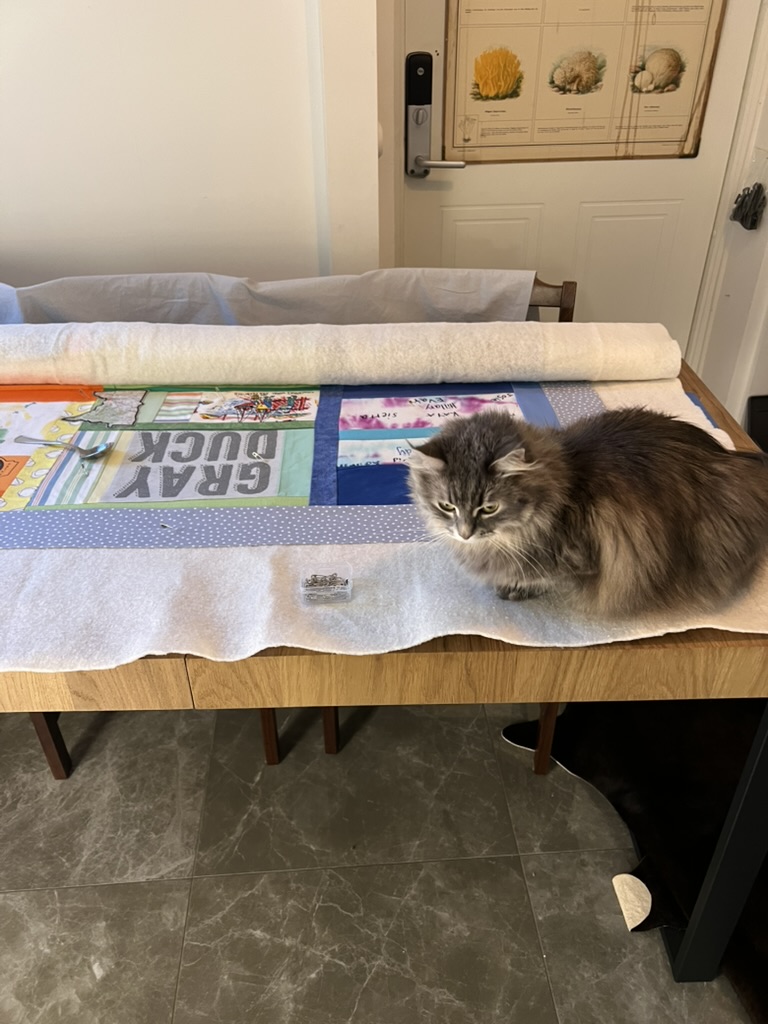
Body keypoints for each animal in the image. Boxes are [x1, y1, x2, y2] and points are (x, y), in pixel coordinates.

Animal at [407, 407, 768, 618]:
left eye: (489, 507)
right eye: (447, 506)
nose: (464, 533)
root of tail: (731, 457)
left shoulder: (588, 559)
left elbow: (548, 578)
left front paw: (519, 587)